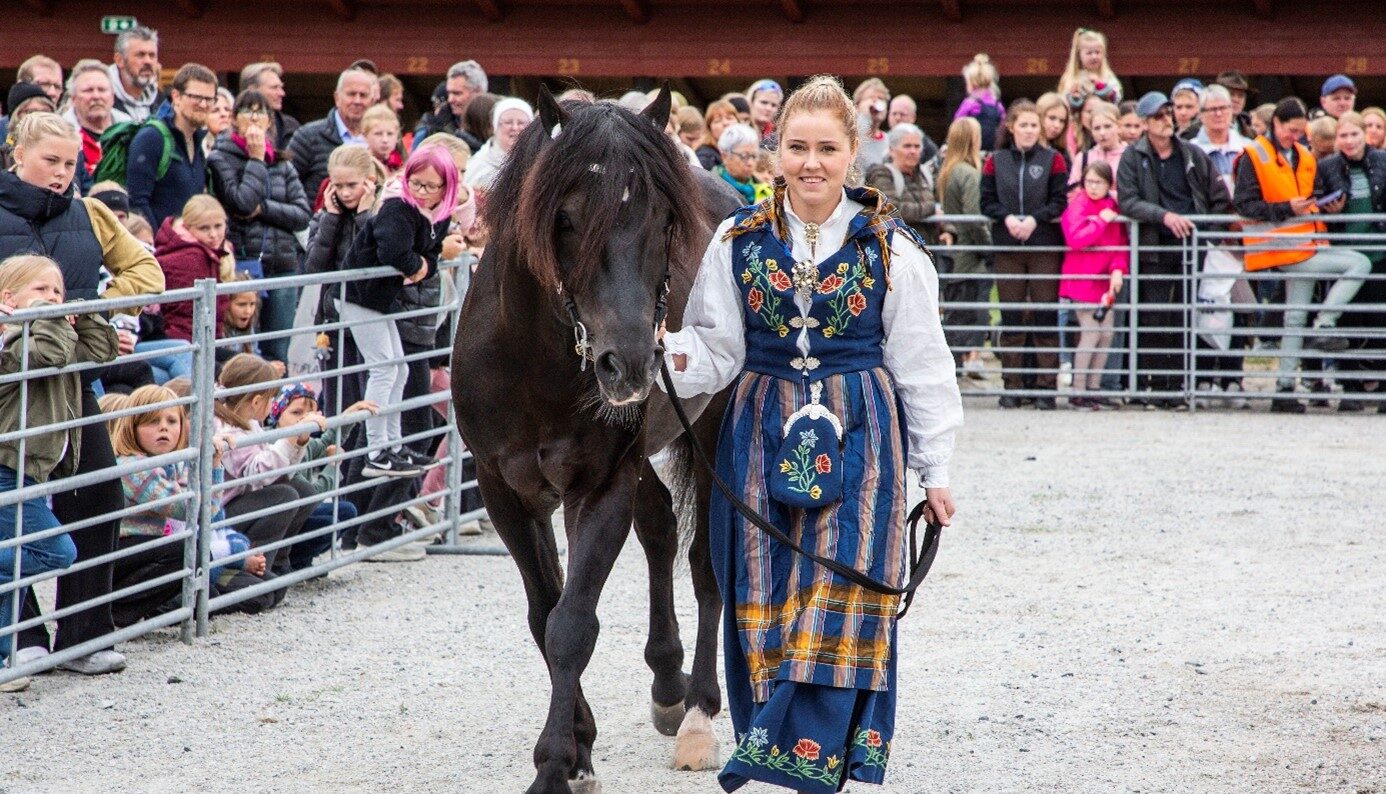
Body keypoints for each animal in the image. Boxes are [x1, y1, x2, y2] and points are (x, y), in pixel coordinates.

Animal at [451, 86, 737, 792]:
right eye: (567, 218)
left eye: (665, 218)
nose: (629, 362)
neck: (535, 361)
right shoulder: (505, 492)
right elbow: (543, 613)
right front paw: (579, 746)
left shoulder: (600, 486)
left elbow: (572, 624)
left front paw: (556, 764)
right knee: (660, 527)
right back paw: (668, 683)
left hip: (710, 434)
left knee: (704, 564)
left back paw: (698, 713)